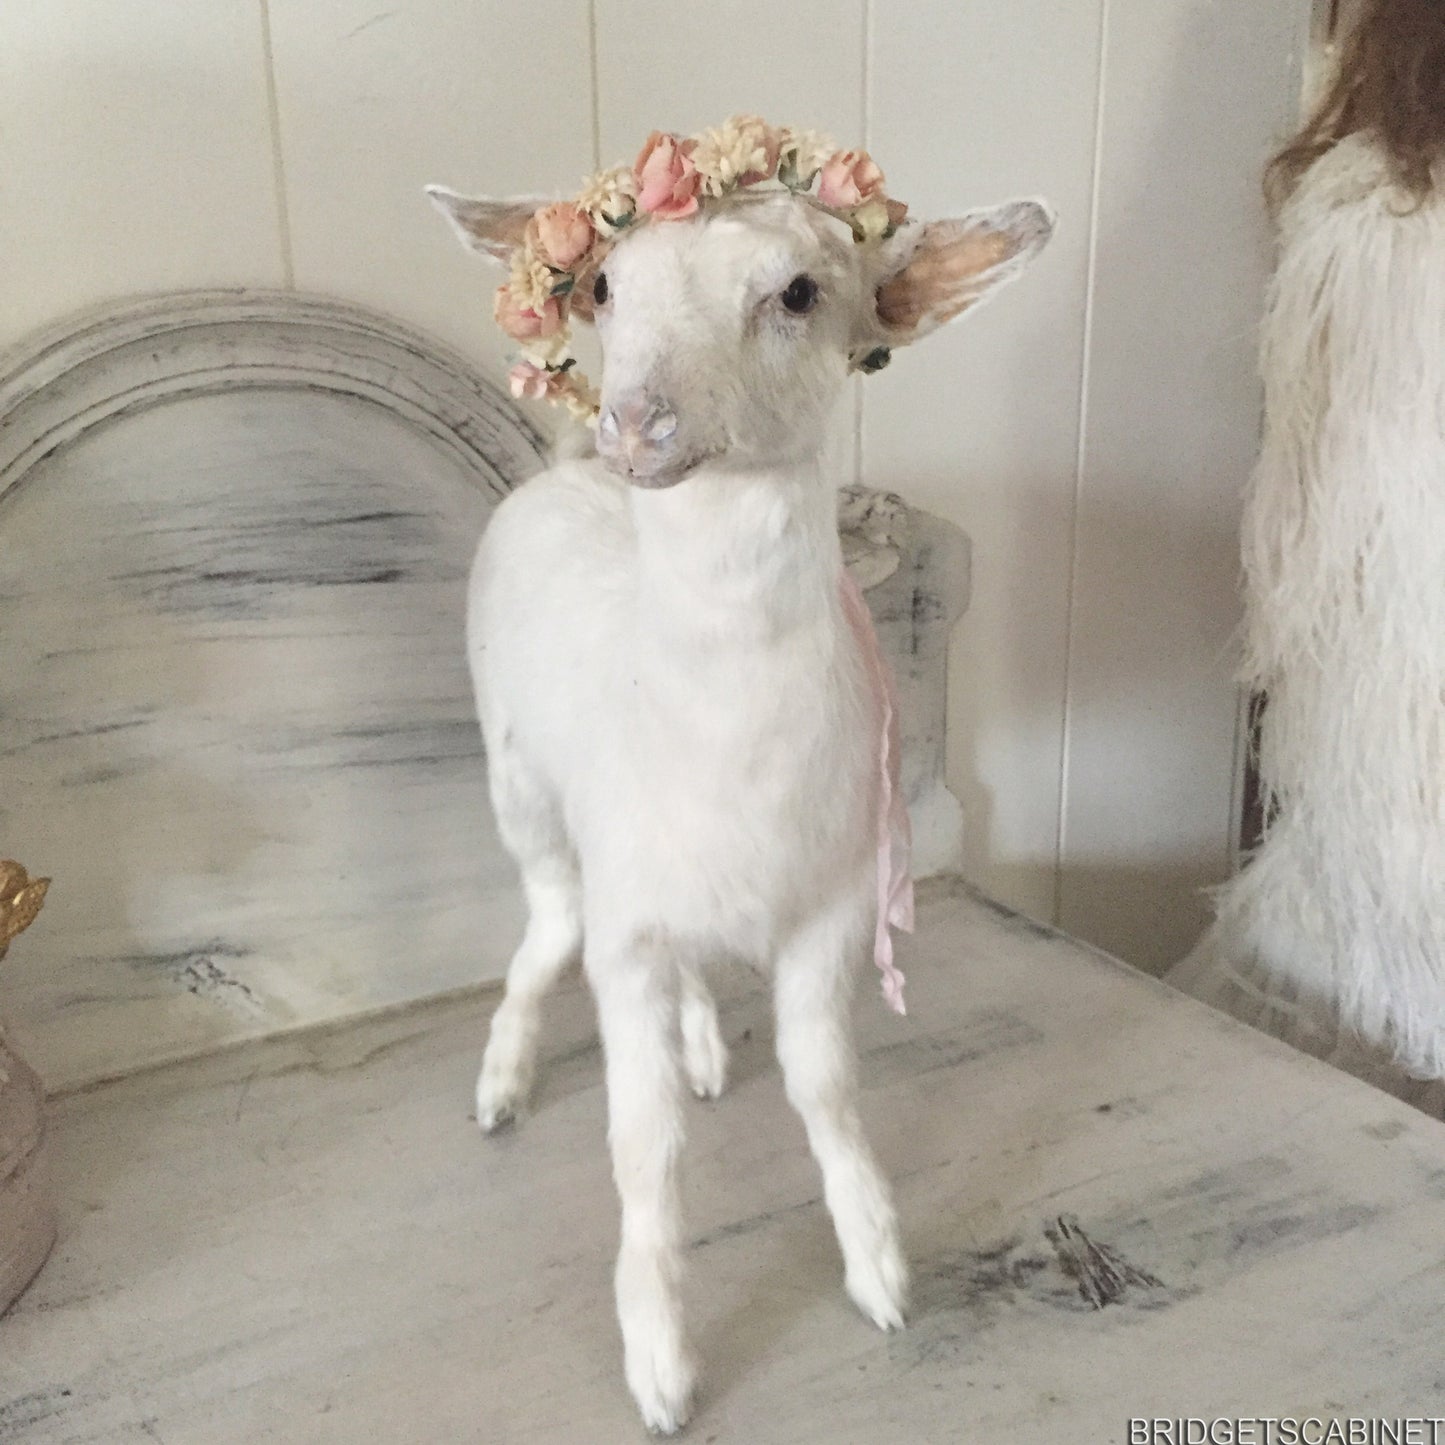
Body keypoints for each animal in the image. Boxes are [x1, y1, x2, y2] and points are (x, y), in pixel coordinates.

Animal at [429, 177, 1052, 1432]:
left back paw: (706, 1046)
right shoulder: (626, 935)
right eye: (602, 284)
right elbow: (644, 1143)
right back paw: (502, 1082)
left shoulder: (828, 912)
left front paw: (879, 1270)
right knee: (546, 920)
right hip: (518, 779)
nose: (636, 421)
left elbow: (825, 1086)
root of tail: (564, 465)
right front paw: (661, 1370)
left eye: (797, 291)